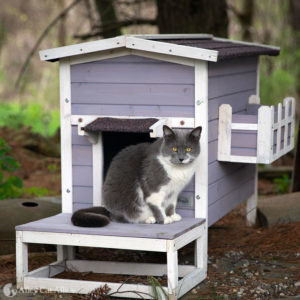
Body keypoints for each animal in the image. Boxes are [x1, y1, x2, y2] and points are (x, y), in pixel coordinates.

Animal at [71, 125, 202, 227]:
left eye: (189, 148)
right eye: (174, 148)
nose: (181, 158)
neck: (178, 171)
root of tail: (108, 210)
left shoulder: (174, 191)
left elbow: (171, 204)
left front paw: (172, 215)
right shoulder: (153, 187)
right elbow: (157, 204)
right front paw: (164, 219)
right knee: (122, 218)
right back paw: (148, 219)